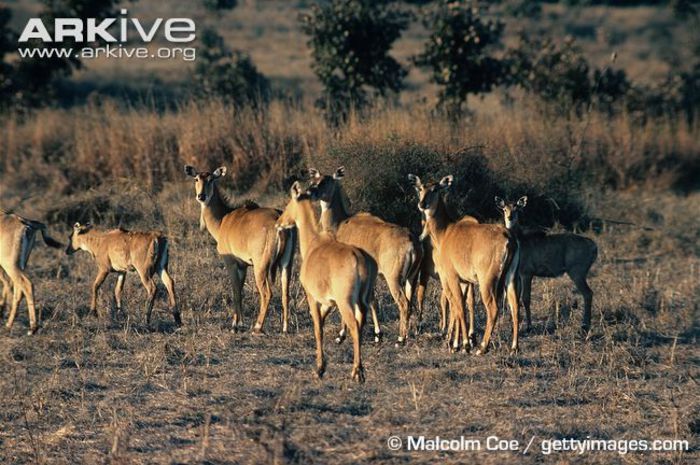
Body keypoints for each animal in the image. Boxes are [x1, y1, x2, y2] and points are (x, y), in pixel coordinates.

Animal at [183, 165, 296, 332]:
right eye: (196, 179)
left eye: (211, 179)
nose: (201, 196)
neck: (223, 220)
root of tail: (279, 219)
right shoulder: (243, 266)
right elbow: (241, 291)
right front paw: (239, 321)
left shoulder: (231, 262)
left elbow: (235, 291)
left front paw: (235, 324)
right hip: (286, 263)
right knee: (285, 292)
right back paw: (285, 328)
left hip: (261, 265)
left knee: (267, 293)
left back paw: (257, 327)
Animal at [308, 167, 422, 344]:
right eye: (315, 178)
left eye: (326, 181)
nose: (309, 191)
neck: (340, 223)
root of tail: (412, 241)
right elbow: (373, 300)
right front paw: (377, 334)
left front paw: (341, 335)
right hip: (412, 278)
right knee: (410, 303)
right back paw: (407, 334)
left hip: (394, 278)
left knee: (403, 304)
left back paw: (400, 339)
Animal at [404, 176, 520, 354]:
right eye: (421, 188)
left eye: (436, 189)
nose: (422, 204)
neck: (445, 232)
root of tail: (509, 238)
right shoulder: (465, 281)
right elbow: (461, 305)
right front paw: (457, 342)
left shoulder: (451, 276)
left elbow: (458, 304)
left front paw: (463, 344)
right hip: (511, 278)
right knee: (515, 306)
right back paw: (514, 347)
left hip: (486, 281)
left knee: (492, 309)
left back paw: (482, 347)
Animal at [494, 196, 600, 330]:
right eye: (504, 209)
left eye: (517, 208)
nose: (510, 217)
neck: (520, 241)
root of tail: (594, 246)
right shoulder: (517, 274)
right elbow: (515, 298)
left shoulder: (526, 272)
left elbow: (526, 298)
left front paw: (529, 326)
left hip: (577, 271)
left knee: (588, 293)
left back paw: (585, 325)